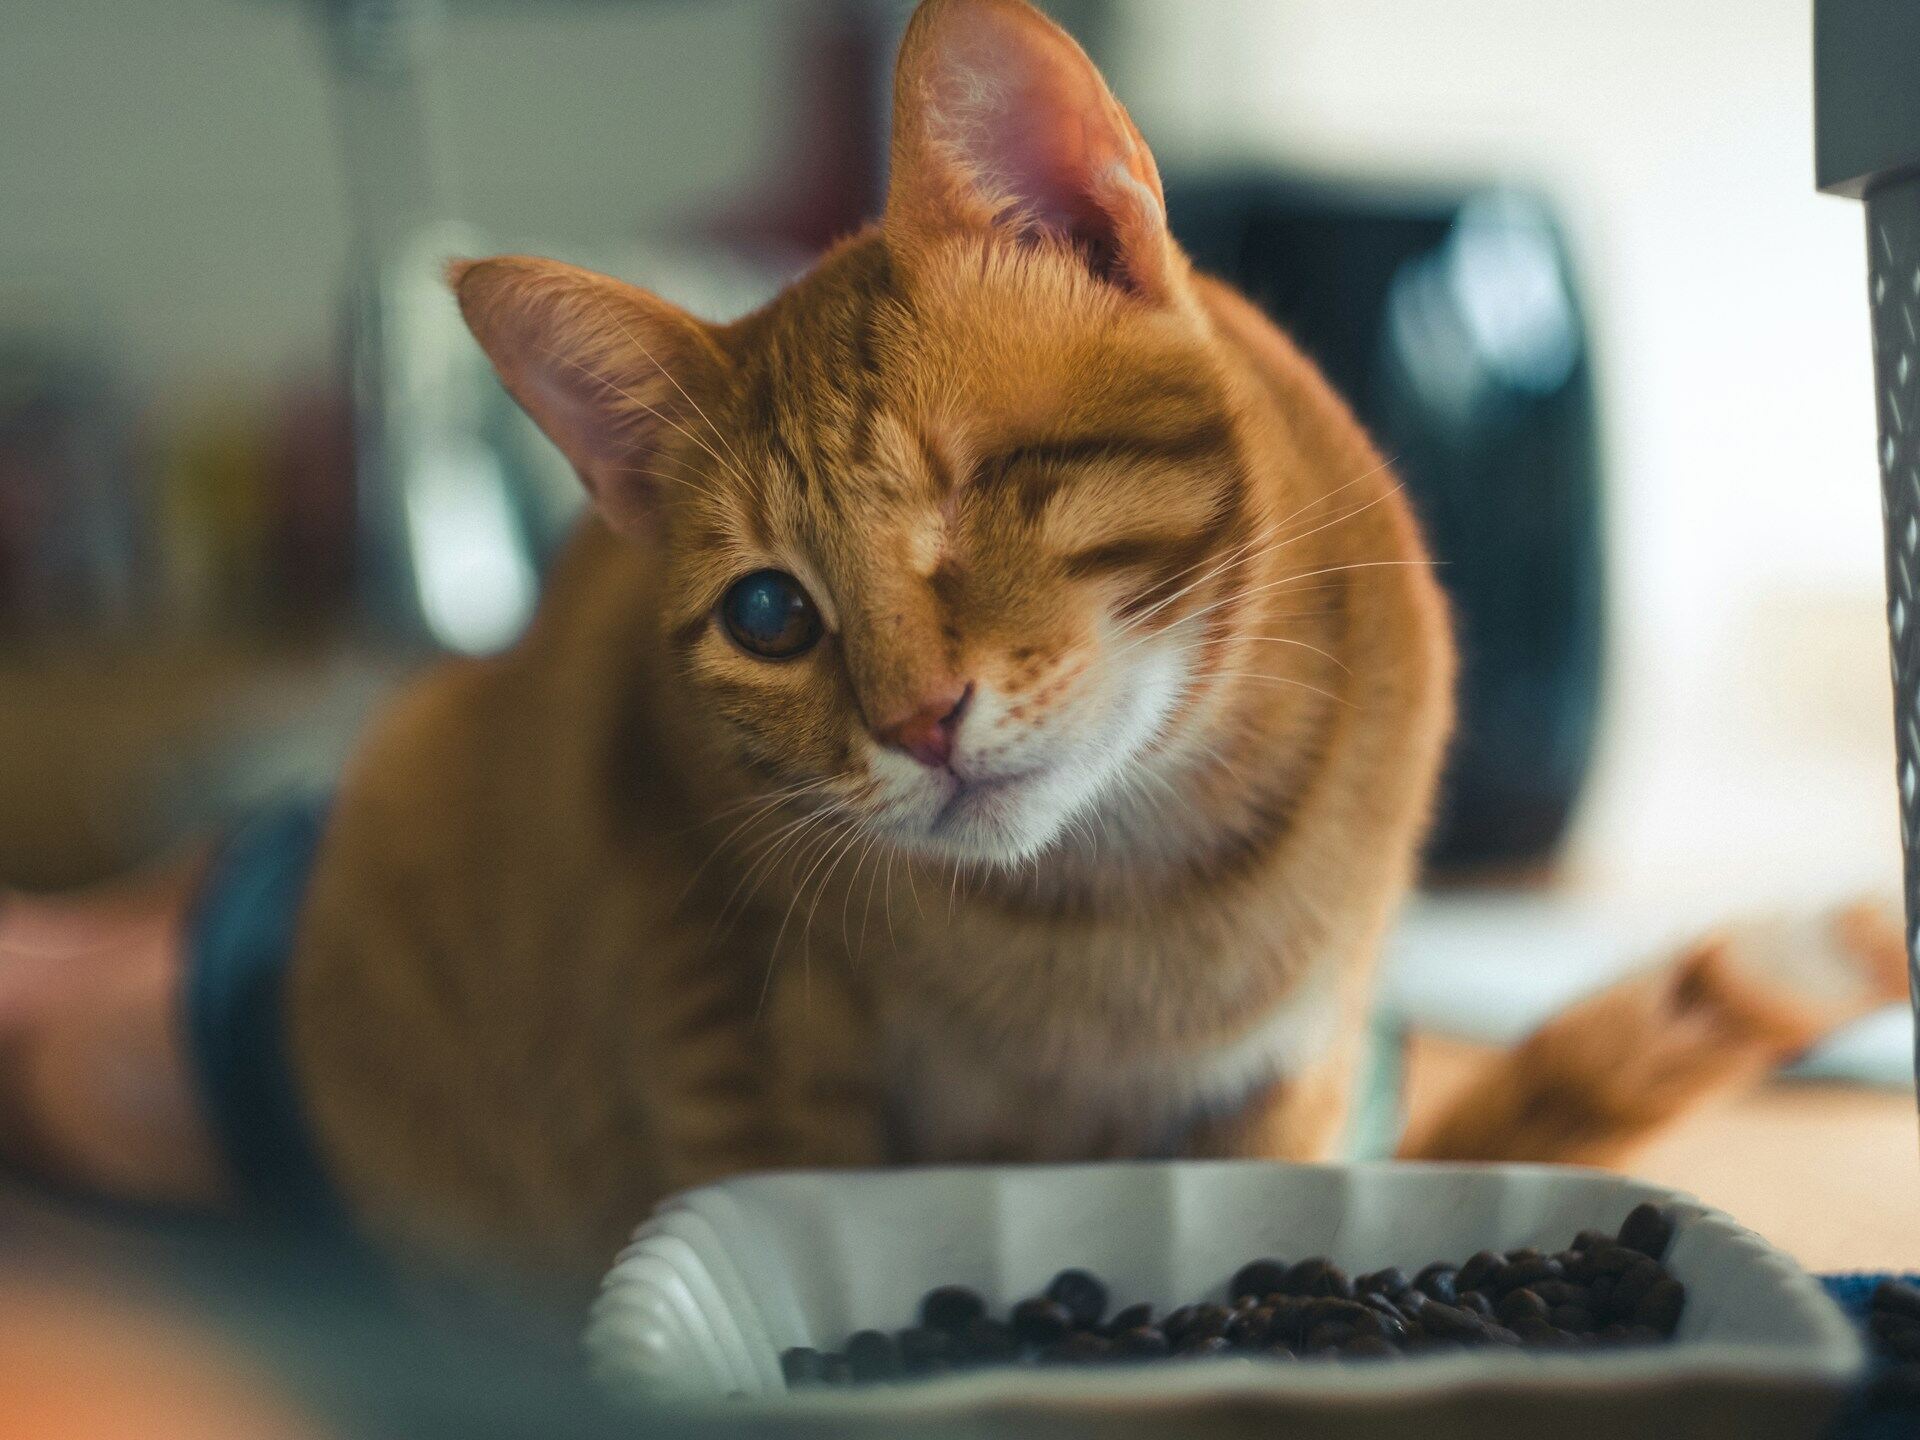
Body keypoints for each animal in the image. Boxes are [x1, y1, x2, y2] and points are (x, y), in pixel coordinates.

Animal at [0, 0, 1896, 1297]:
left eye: (986, 488)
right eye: (771, 613)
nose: (919, 720)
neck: (1125, 908)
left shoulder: (1282, 1086)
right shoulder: (723, 1034)